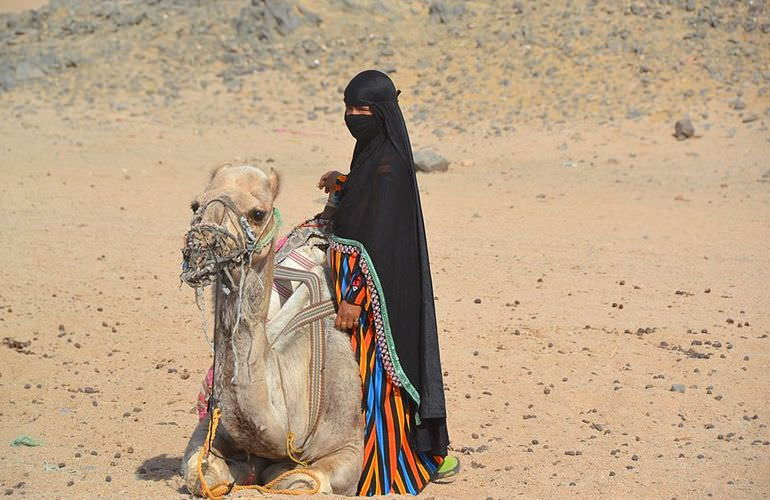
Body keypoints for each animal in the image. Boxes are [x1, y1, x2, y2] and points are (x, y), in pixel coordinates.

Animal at [180, 165, 364, 496]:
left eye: (257, 213)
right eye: (195, 205)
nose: (202, 246)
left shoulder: (350, 445)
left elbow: (303, 479)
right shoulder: (210, 427)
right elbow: (201, 474)